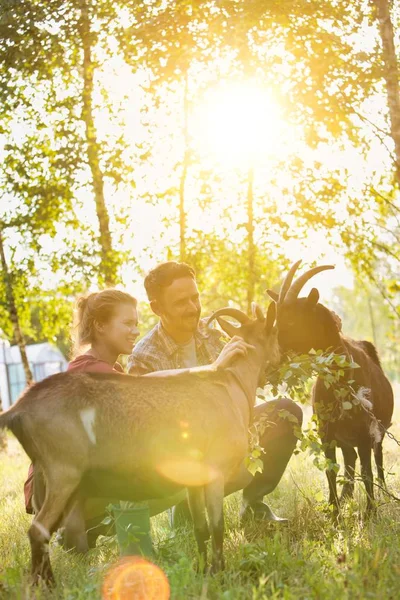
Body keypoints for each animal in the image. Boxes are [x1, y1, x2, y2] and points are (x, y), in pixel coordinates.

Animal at [0, 302, 280, 584]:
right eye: (274, 333)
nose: (278, 362)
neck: (231, 385)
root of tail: (17, 410)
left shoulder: (193, 477)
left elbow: (200, 526)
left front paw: (201, 571)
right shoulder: (215, 470)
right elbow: (217, 525)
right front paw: (218, 573)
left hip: (51, 480)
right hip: (63, 473)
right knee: (39, 531)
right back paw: (49, 586)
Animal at [268, 260, 396, 512]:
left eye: (292, 320)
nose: (273, 355)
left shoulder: (365, 432)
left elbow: (367, 472)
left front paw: (370, 512)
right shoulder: (326, 432)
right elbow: (330, 472)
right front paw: (334, 512)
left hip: (377, 432)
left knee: (376, 461)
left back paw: (382, 495)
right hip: (344, 437)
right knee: (349, 460)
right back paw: (346, 497)